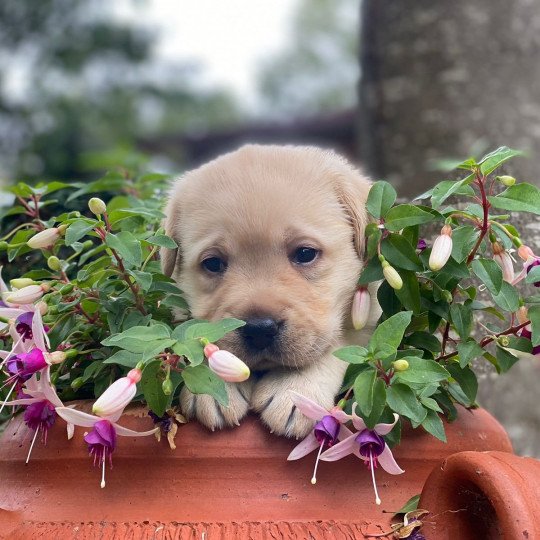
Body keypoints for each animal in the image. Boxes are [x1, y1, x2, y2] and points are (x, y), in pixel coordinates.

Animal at [162, 144, 378, 438]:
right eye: (213, 263)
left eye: (305, 253)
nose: (259, 330)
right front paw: (213, 384)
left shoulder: (369, 317)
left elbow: (336, 345)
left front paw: (295, 389)